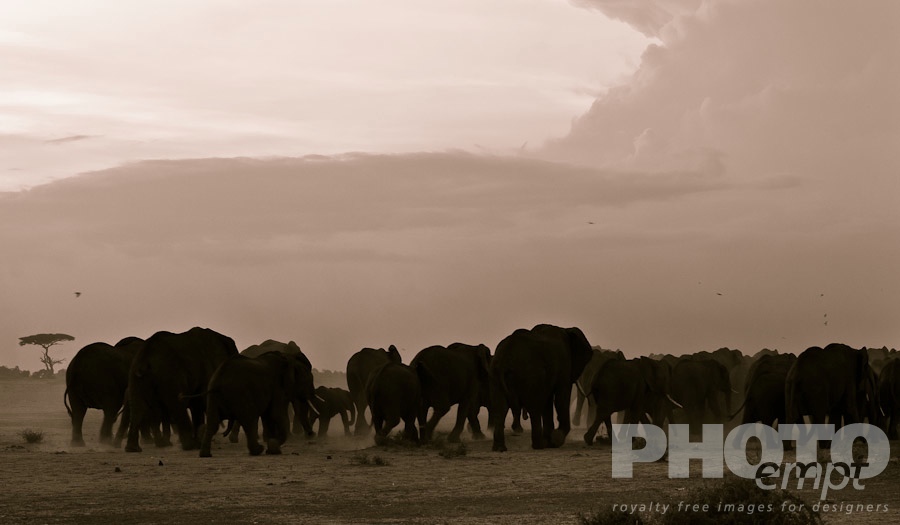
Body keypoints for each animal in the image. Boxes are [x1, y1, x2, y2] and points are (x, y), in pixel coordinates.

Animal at [489, 324, 594, 452]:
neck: (566, 330)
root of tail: (505, 358)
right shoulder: (564, 364)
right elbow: (560, 398)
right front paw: (556, 441)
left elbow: (548, 402)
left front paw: (551, 442)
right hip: (529, 375)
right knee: (534, 408)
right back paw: (539, 445)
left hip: (495, 375)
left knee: (500, 408)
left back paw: (500, 448)